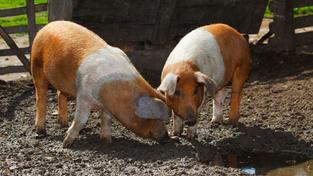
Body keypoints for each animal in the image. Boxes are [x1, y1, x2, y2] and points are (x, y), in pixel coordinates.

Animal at [30, 20, 169, 147]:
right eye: (154, 118)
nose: (167, 138)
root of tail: (47, 26)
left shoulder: (107, 107)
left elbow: (106, 120)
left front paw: (107, 141)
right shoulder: (83, 95)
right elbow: (81, 119)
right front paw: (66, 143)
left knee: (60, 94)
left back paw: (63, 124)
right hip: (36, 65)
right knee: (40, 97)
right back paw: (41, 131)